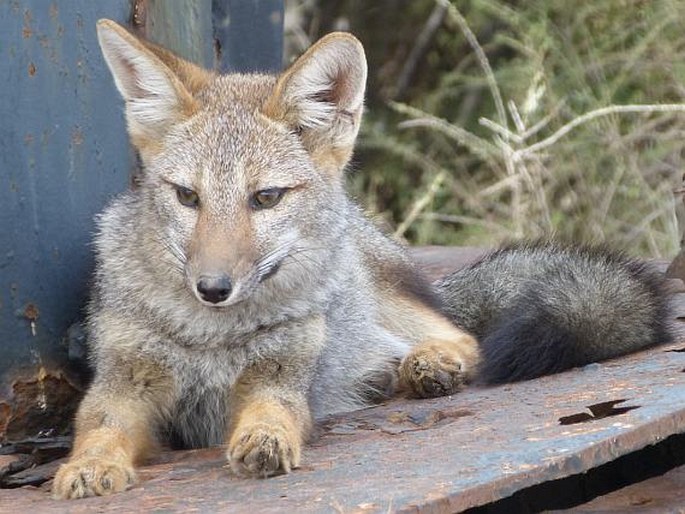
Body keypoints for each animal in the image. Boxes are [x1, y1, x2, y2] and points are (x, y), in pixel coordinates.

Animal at [53, 20, 672, 496]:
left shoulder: (281, 374)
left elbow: (273, 411)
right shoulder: (125, 381)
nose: (212, 287)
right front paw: (88, 466)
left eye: (265, 198)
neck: (210, 337)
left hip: (377, 295)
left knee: (460, 334)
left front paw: (265, 439)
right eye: (187, 196)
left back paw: (428, 364)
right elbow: (100, 428)